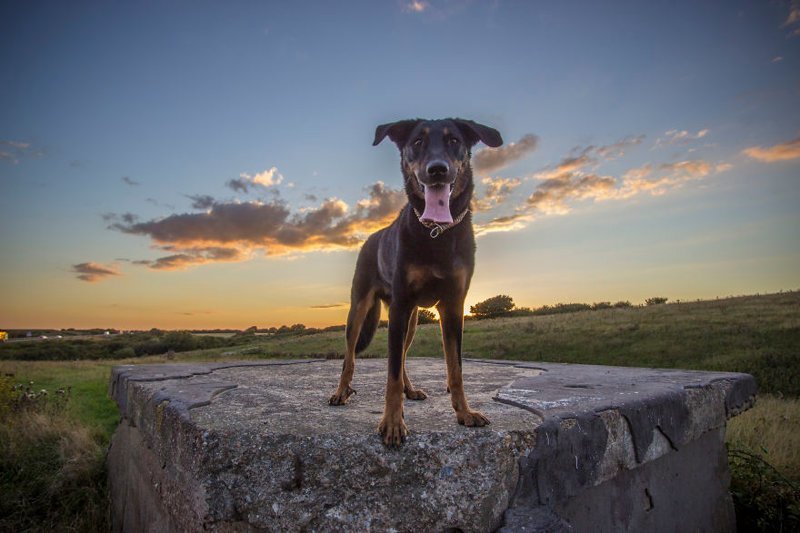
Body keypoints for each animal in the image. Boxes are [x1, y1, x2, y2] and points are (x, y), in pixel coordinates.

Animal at [328, 117, 504, 444]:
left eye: (454, 140)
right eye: (417, 142)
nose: (437, 170)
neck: (436, 231)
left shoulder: (453, 307)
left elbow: (455, 369)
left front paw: (464, 412)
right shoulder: (400, 306)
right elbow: (391, 375)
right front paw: (392, 423)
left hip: (410, 320)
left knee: (403, 356)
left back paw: (410, 390)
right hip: (360, 310)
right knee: (351, 357)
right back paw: (341, 392)